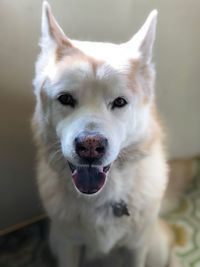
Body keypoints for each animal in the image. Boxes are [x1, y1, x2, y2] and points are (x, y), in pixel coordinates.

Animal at [32, 2, 180, 267]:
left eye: (119, 102)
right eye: (65, 99)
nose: (90, 146)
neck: (100, 199)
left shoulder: (136, 248)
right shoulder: (68, 247)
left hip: (155, 247)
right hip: (55, 240)